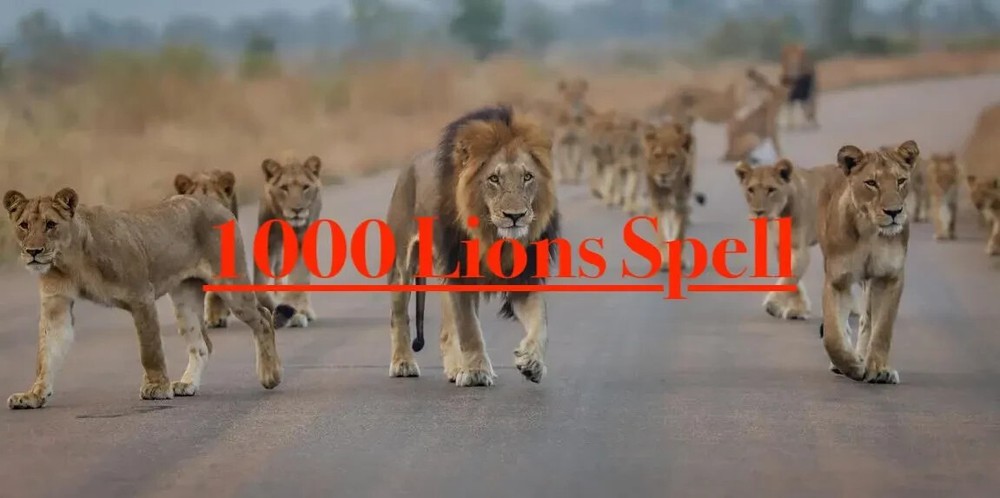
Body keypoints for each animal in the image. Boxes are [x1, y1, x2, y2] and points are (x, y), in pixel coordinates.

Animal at [2, 188, 294, 409]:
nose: (33, 252)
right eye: (24, 225)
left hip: (229, 284)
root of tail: (215, 204)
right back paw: (187, 384)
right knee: (202, 344)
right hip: (184, 297)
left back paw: (271, 375)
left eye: (51, 225)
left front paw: (156, 387)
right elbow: (45, 355)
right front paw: (33, 395)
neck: (69, 259)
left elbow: (150, 349)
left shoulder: (141, 295)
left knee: (263, 318)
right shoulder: (56, 304)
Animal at [256, 155, 323, 328]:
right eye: (284, 187)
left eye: (305, 187)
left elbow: (299, 277)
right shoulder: (268, 242)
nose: (297, 209)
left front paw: (295, 313)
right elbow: (261, 287)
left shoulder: (301, 240)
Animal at [383, 104, 560, 387]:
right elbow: (469, 328)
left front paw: (532, 362)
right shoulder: (460, 274)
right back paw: (403, 363)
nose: (515, 216)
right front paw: (476, 372)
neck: (493, 237)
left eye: (527, 177)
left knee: (446, 330)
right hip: (402, 264)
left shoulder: (524, 277)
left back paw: (455, 368)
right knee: (399, 316)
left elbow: (539, 321)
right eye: (494, 179)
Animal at [641, 120, 707, 271]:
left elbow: (678, 235)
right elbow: (662, 233)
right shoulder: (659, 203)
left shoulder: (681, 205)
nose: (663, 175)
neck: (670, 187)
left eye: (672, 156)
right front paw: (665, 262)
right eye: (657, 155)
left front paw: (679, 261)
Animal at [817, 140, 920, 385]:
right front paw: (851, 366)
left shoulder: (889, 277)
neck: (870, 231)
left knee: (867, 321)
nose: (894, 212)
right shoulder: (837, 280)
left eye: (901, 181)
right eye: (871, 183)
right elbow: (832, 337)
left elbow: (882, 329)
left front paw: (879, 369)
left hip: (870, 281)